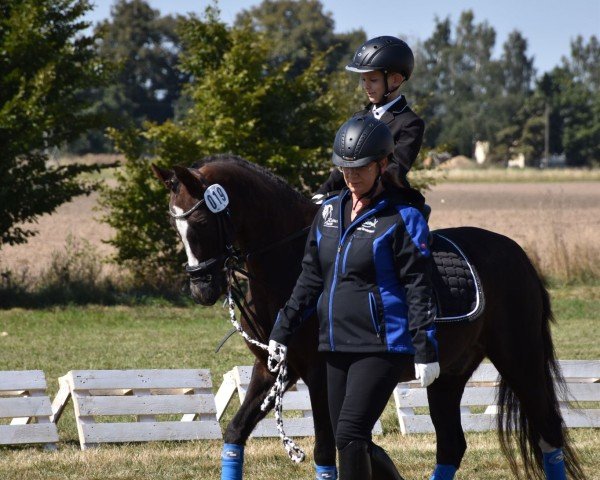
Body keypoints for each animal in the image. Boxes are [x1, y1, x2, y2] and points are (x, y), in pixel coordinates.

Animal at [152, 155, 584, 480]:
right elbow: (235, 433)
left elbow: (325, 451)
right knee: (451, 444)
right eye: (174, 224)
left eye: (201, 222)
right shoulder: (273, 368)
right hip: (449, 373)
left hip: (520, 358)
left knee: (548, 432)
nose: (202, 289)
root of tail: (518, 254)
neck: (289, 261)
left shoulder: (318, 373)